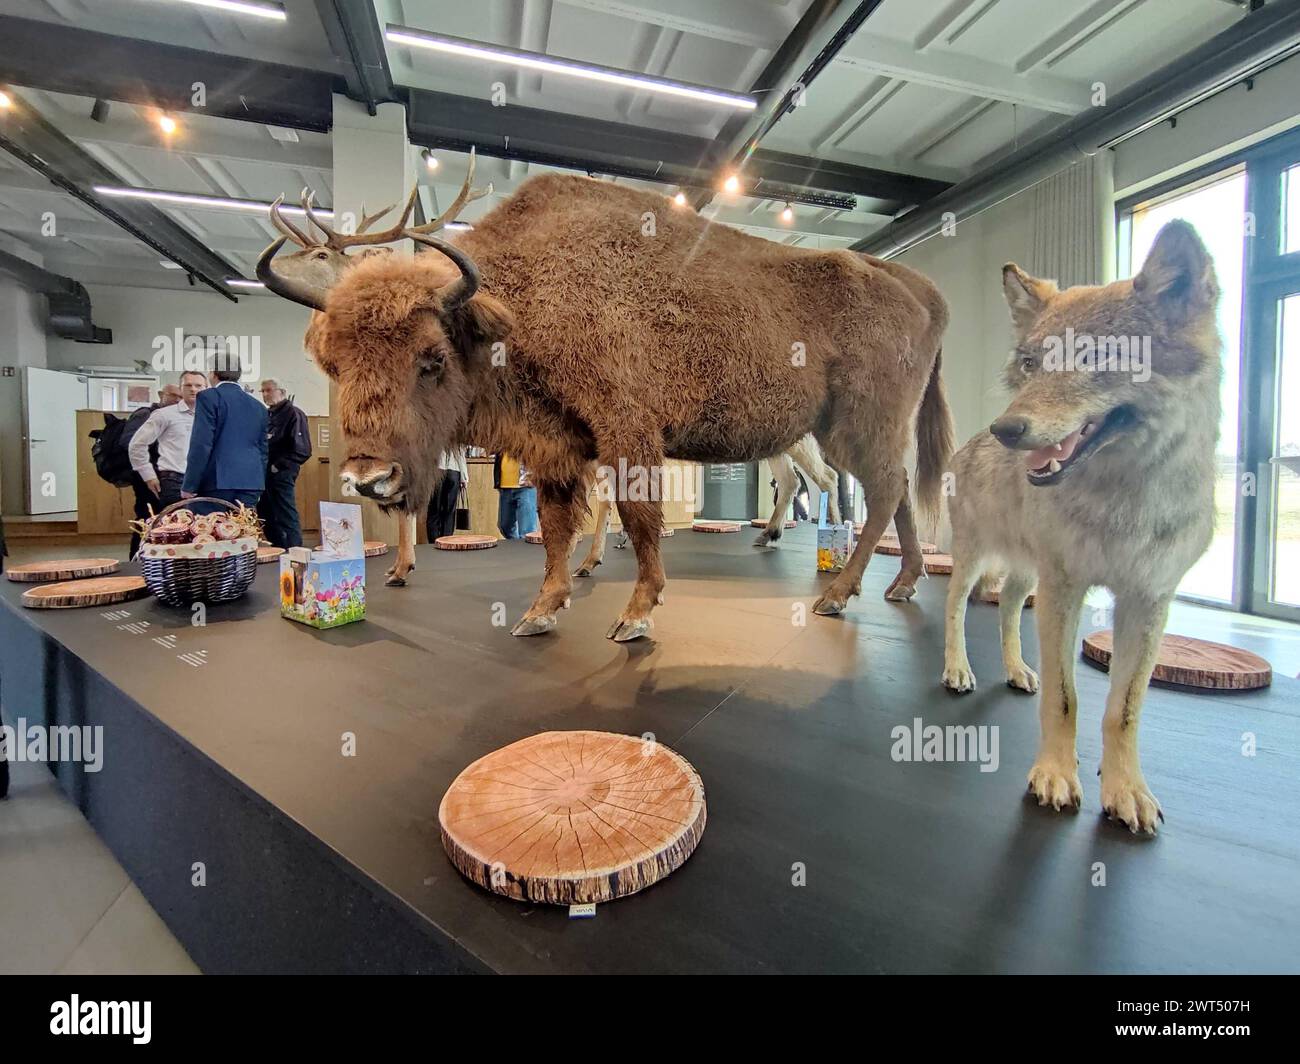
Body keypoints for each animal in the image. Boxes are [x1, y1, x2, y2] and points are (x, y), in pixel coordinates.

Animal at [258, 157, 956, 637]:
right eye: (335, 362)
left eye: (432, 359)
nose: (367, 477)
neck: (515, 305)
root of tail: (920, 286)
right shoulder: (556, 445)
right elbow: (557, 523)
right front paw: (541, 610)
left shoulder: (627, 433)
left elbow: (636, 515)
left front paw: (636, 614)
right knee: (892, 492)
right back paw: (900, 583)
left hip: (856, 425)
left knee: (882, 489)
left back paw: (837, 594)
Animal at [941, 219, 1222, 832]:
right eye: (1029, 363)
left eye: (1096, 355)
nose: (1007, 429)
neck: (1126, 500)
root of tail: (965, 442)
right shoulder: (1065, 587)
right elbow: (1065, 699)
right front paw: (1054, 775)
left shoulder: (1147, 600)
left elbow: (1124, 711)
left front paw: (1125, 789)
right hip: (976, 561)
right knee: (954, 609)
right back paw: (957, 669)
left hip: (1027, 572)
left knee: (1009, 611)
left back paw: (1016, 669)